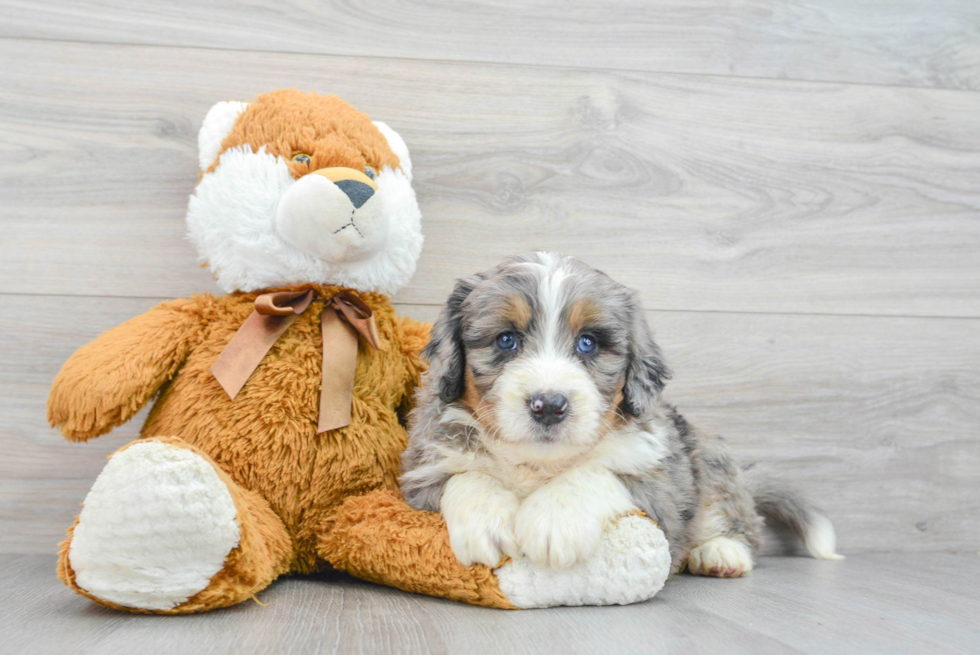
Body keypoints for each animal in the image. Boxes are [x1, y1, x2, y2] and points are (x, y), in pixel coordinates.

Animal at [398, 254, 844, 576]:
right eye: (506, 340)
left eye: (588, 343)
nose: (549, 405)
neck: (539, 465)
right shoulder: (419, 472)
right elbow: (465, 473)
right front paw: (487, 524)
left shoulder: (659, 479)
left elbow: (599, 472)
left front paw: (553, 522)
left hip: (709, 458)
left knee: (739, 520)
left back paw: (721, 553)